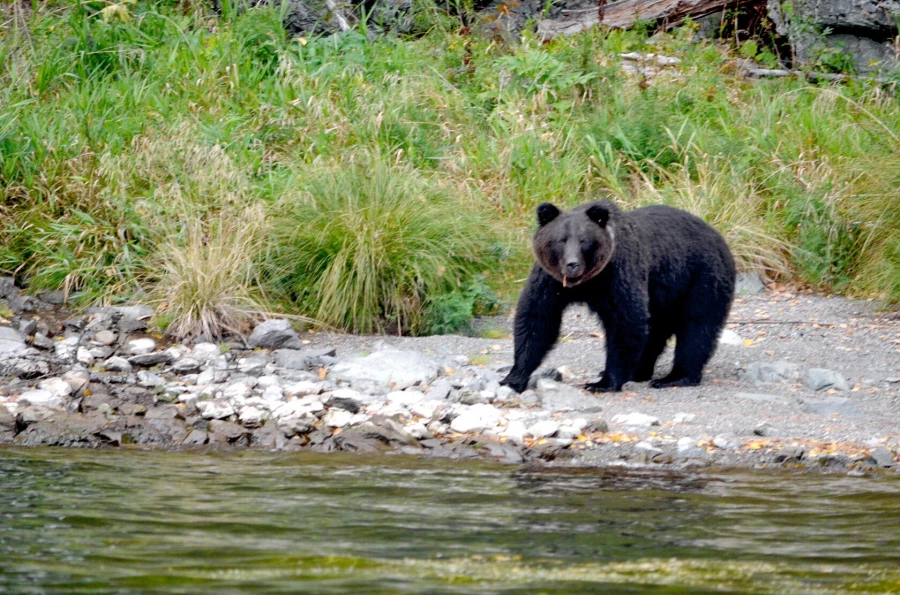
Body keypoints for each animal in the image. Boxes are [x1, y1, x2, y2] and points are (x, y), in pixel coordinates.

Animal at [500, 200, 736, 393]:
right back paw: (640, 371)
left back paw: (675, 377)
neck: (586, 283)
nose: (572, 264)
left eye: (584, 240)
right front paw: (513, 378)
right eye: (560, 240)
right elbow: (537, 320)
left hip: (700, 277)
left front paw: (603, 382)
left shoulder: (619, 274)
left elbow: (626, 321)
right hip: (665, 293)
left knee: (696, 327)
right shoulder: (550, 280)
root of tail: (717, 235)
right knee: (656, 330)